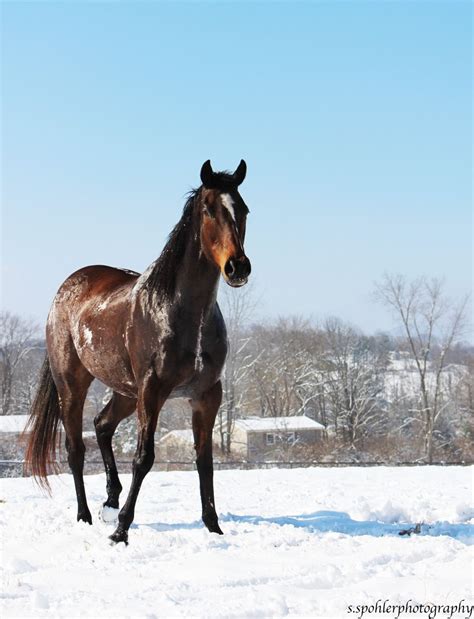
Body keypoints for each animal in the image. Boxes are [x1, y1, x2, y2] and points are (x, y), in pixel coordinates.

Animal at [25, 160, 252, 544]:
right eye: (209, 209)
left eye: (244, 210)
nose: (238, 267)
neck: (180, 312)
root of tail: (67, 288)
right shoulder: (153, 391)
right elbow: (144, 458)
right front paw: (121, 530)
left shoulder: (206, 395)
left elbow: (204, 460)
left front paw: (214, 527)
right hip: (74, 385)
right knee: (75, 449)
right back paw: (86, 515)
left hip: (126, 392)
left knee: (102, 426)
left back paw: (110, 501)